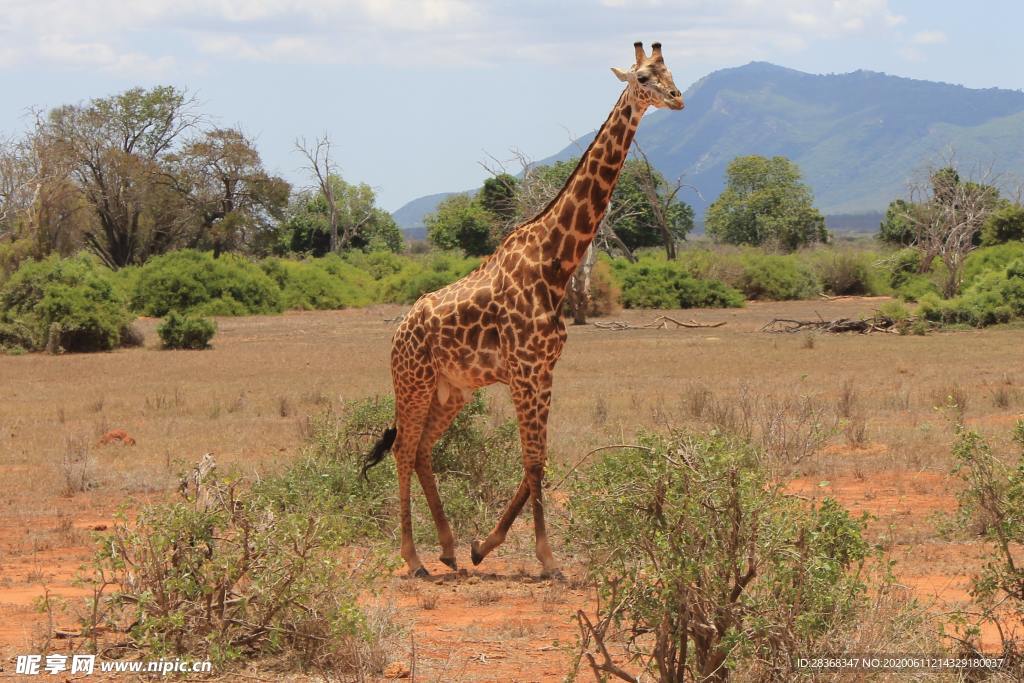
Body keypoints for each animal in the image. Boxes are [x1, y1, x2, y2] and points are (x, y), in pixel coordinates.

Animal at [364, 41, 684, 577]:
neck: (555, 261)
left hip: (452, 390)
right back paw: (414, 558)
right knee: (404, 450)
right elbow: (533, 461)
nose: (678, 99)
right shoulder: (525, 370)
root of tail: (398, 331)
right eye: (643, 77)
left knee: (425, 450)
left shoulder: (544, 369)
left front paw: (482, 545)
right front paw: (547, 558)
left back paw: (448, 548)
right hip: (413, 381)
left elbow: (538, 460)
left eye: (672, 72)